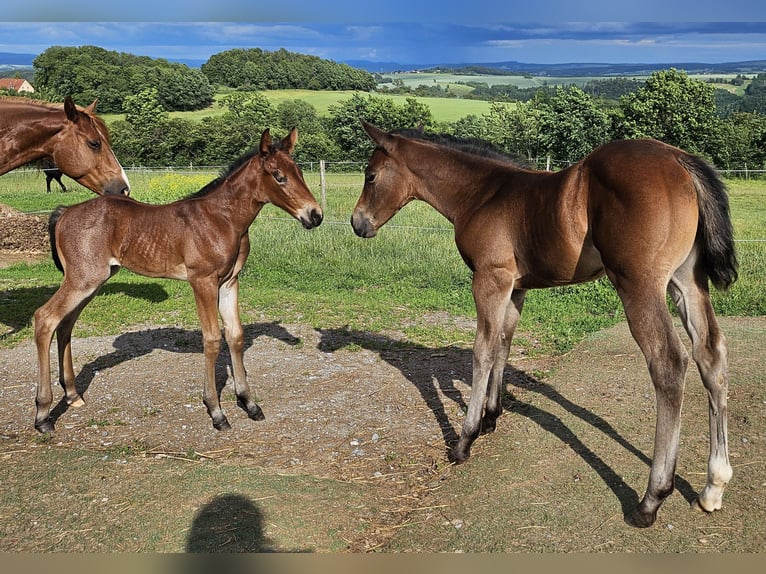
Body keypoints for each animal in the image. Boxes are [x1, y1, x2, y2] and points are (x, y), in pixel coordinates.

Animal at [33, 128, 322, 433]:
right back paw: (42, 415)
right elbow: (212, 339)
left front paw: (248, 402)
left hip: (91, 281)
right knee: (45, 319)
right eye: (279, 176)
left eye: (300, 172)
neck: (223, 219)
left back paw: (72, 394)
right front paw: (216, 411)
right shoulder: (203, 281)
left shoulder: (230, 282)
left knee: (65, 325)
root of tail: (65, 212)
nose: (315, 215)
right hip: (83, 279)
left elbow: (235, 335)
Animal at [352, 122, 738, 528]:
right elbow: (504, 343)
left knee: (669, 363)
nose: (357, 222)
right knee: (711, 355)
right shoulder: (515, 286)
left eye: (370, 175)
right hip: (687, 280)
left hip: (639, 283)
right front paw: (491, 417)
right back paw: (713, 487)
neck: (482, 194)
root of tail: (679, 159)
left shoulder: (489, 278)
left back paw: (652, 499)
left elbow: (483, 351)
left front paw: (465, 440)